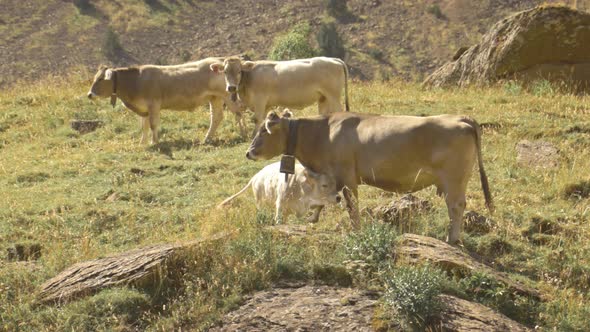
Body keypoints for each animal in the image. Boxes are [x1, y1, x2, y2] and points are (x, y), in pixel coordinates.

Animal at [86, 58, 246, 144]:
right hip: (215, 98)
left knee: (238, 111)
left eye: (100, 79)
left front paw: (154, 142)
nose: (89, 94)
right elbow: (144, 126)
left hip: (227, 94)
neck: (136, 81)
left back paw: (243, 133)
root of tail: (218, 62)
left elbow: (153, 124)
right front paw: (142, 143)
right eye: (95, 77)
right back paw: (207, 139)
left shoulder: (154, 105)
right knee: (217, 117)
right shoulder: (144, 109)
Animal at [245, 110, 494, 243]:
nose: (249, 152)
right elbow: (325, 197)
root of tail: (461, 118)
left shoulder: (347, 176)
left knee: (456, 206)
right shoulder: (332, 175)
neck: (322, 133)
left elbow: (351, 205)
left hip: (455, 180)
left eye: (264, 130)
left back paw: (451, 239)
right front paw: (313, 217)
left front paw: (356, 229)